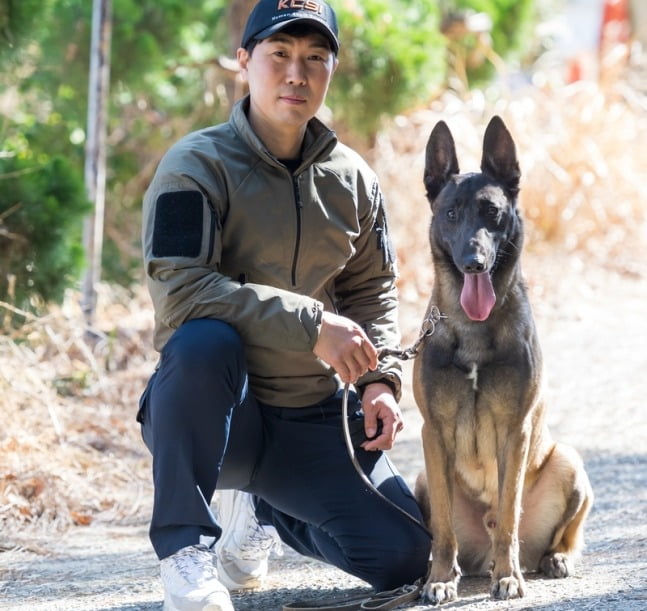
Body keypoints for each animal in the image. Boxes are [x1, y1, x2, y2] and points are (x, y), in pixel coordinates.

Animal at [412, 117, 596, 604]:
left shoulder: (516, 431)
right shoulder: (433, 433)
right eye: (451, 214)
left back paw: (551, 559)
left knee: (557, 534)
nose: (474, 262)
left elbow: (510, 513)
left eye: (492, 213)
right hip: (422, 478)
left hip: (569, 461)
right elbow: (443, 530)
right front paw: (440, 578)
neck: (474, 328)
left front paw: (508, 577)